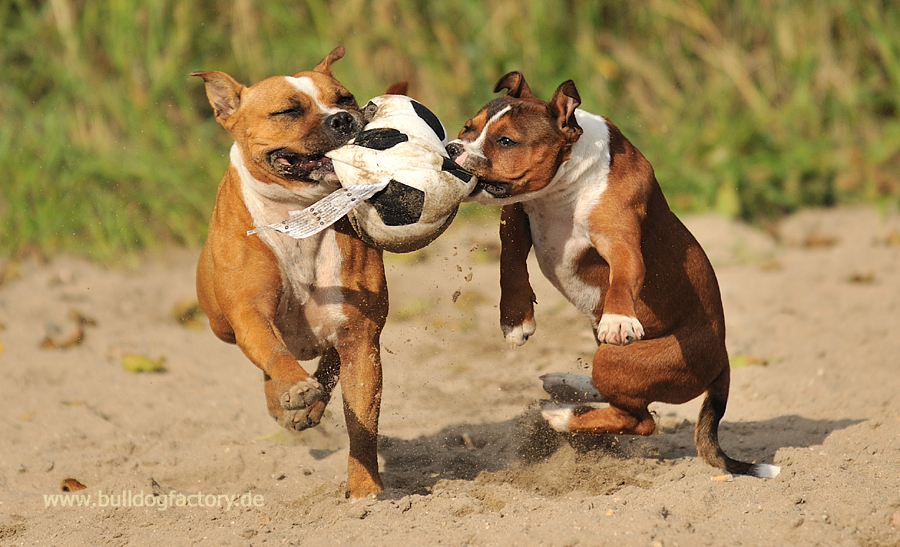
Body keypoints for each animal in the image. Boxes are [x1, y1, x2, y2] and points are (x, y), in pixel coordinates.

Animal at [192, 49, 388, 498]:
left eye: (346, 98)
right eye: (287, 111)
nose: (344, 119)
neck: (300, 216)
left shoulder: (361, 335)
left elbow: (362, 421)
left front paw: (364, 489)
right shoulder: (249, 314)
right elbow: (274, 352)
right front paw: (295, 389)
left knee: (330, 364)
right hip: (221, 323)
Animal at [450, 74, 780, 480]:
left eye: (506, 141)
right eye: (468, 128)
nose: (451, 148)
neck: (562, 188)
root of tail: (722, 362)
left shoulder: (620, 239)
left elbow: (624, 275)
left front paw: (619, 318)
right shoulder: (515, 213)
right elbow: (509, 262)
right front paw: (515, 319)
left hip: (620, 359)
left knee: (639, 420)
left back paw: (562, 417)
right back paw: (567, 386)